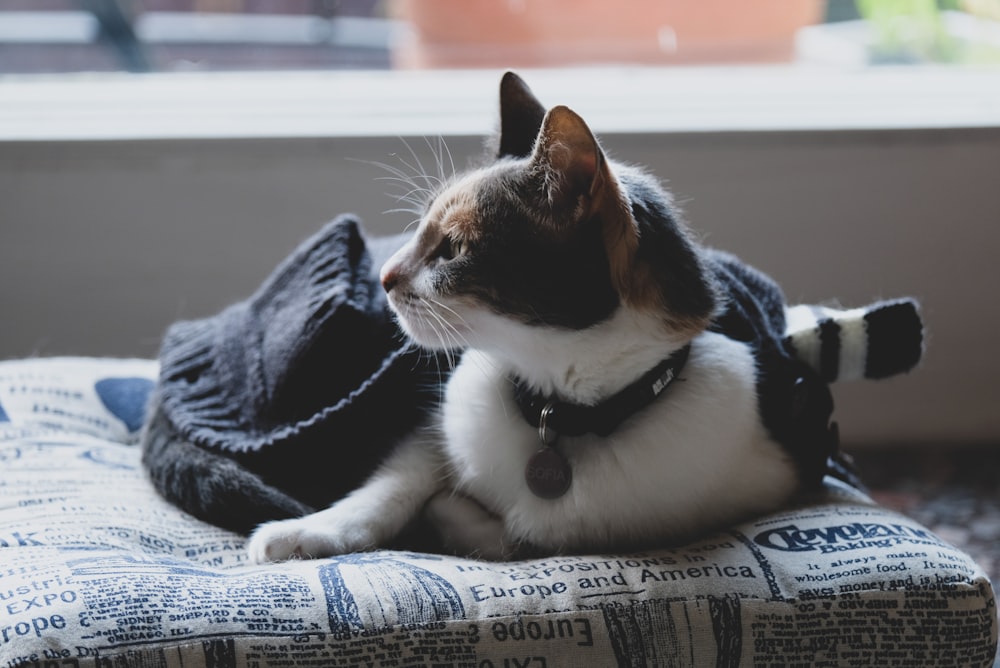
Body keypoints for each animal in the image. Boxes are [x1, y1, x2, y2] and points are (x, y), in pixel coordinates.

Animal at [242, 73, 920, 564]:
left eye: (452, 250)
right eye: (420, 232)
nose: (383, 278)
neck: (556, 408)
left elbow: (518, 537)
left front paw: (463, 518)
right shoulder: (433, 430)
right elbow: (392, 484)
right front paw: (307, 531)